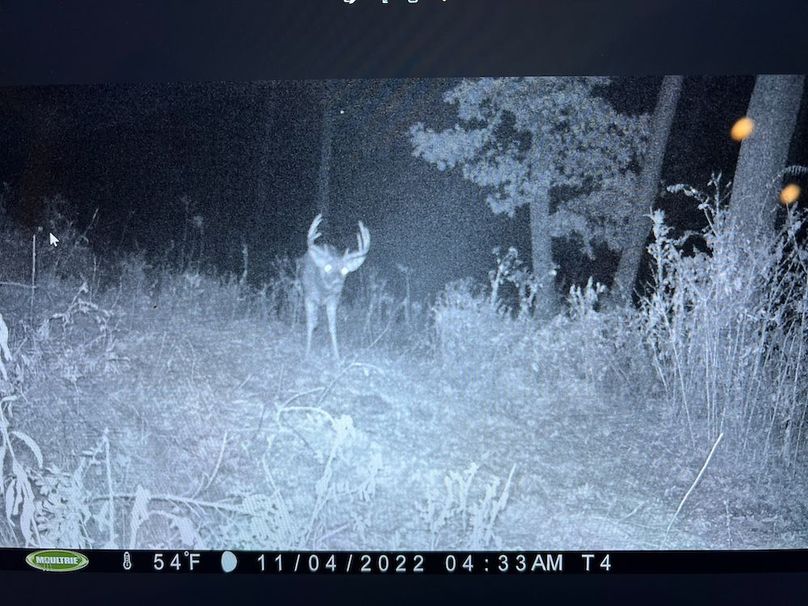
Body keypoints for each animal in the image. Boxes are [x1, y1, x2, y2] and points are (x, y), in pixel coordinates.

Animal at [298, 214, 370, 360]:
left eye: (344, 270)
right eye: (327, 267)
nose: (337, 283)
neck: (322, 292)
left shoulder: (333, 299)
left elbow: (332, 327)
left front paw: (337, 356)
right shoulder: (309, 296)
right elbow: (309, 324)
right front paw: (306, 353)